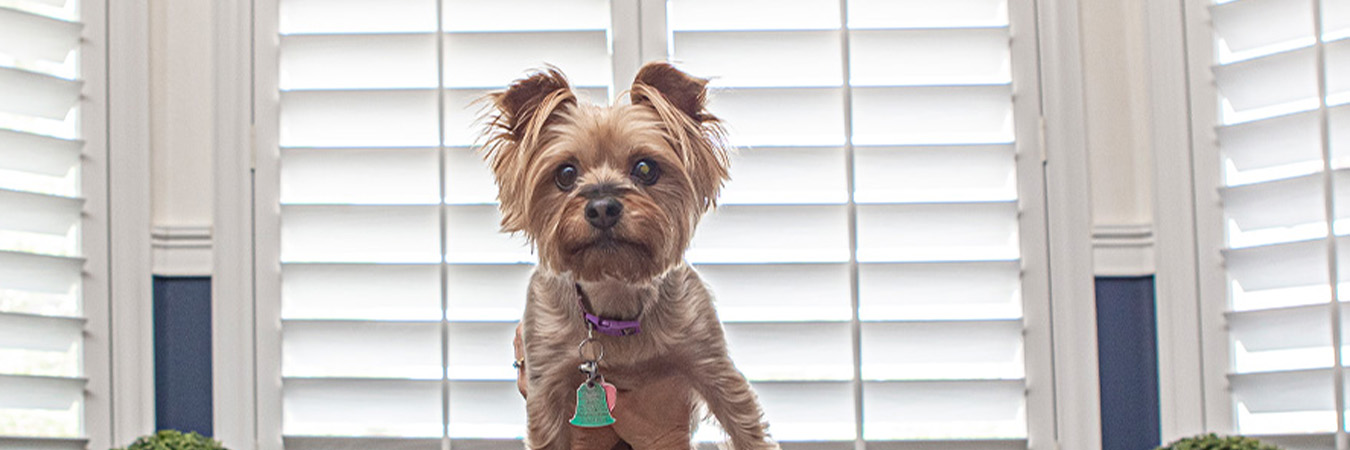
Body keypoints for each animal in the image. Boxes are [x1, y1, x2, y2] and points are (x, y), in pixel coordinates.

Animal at [486, 62, 783, 448]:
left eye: (645, 168)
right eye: (565, 173)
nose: (602, 207)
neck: (616, 293)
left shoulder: (711, 363)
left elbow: (745, 425)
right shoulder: (546, 383)